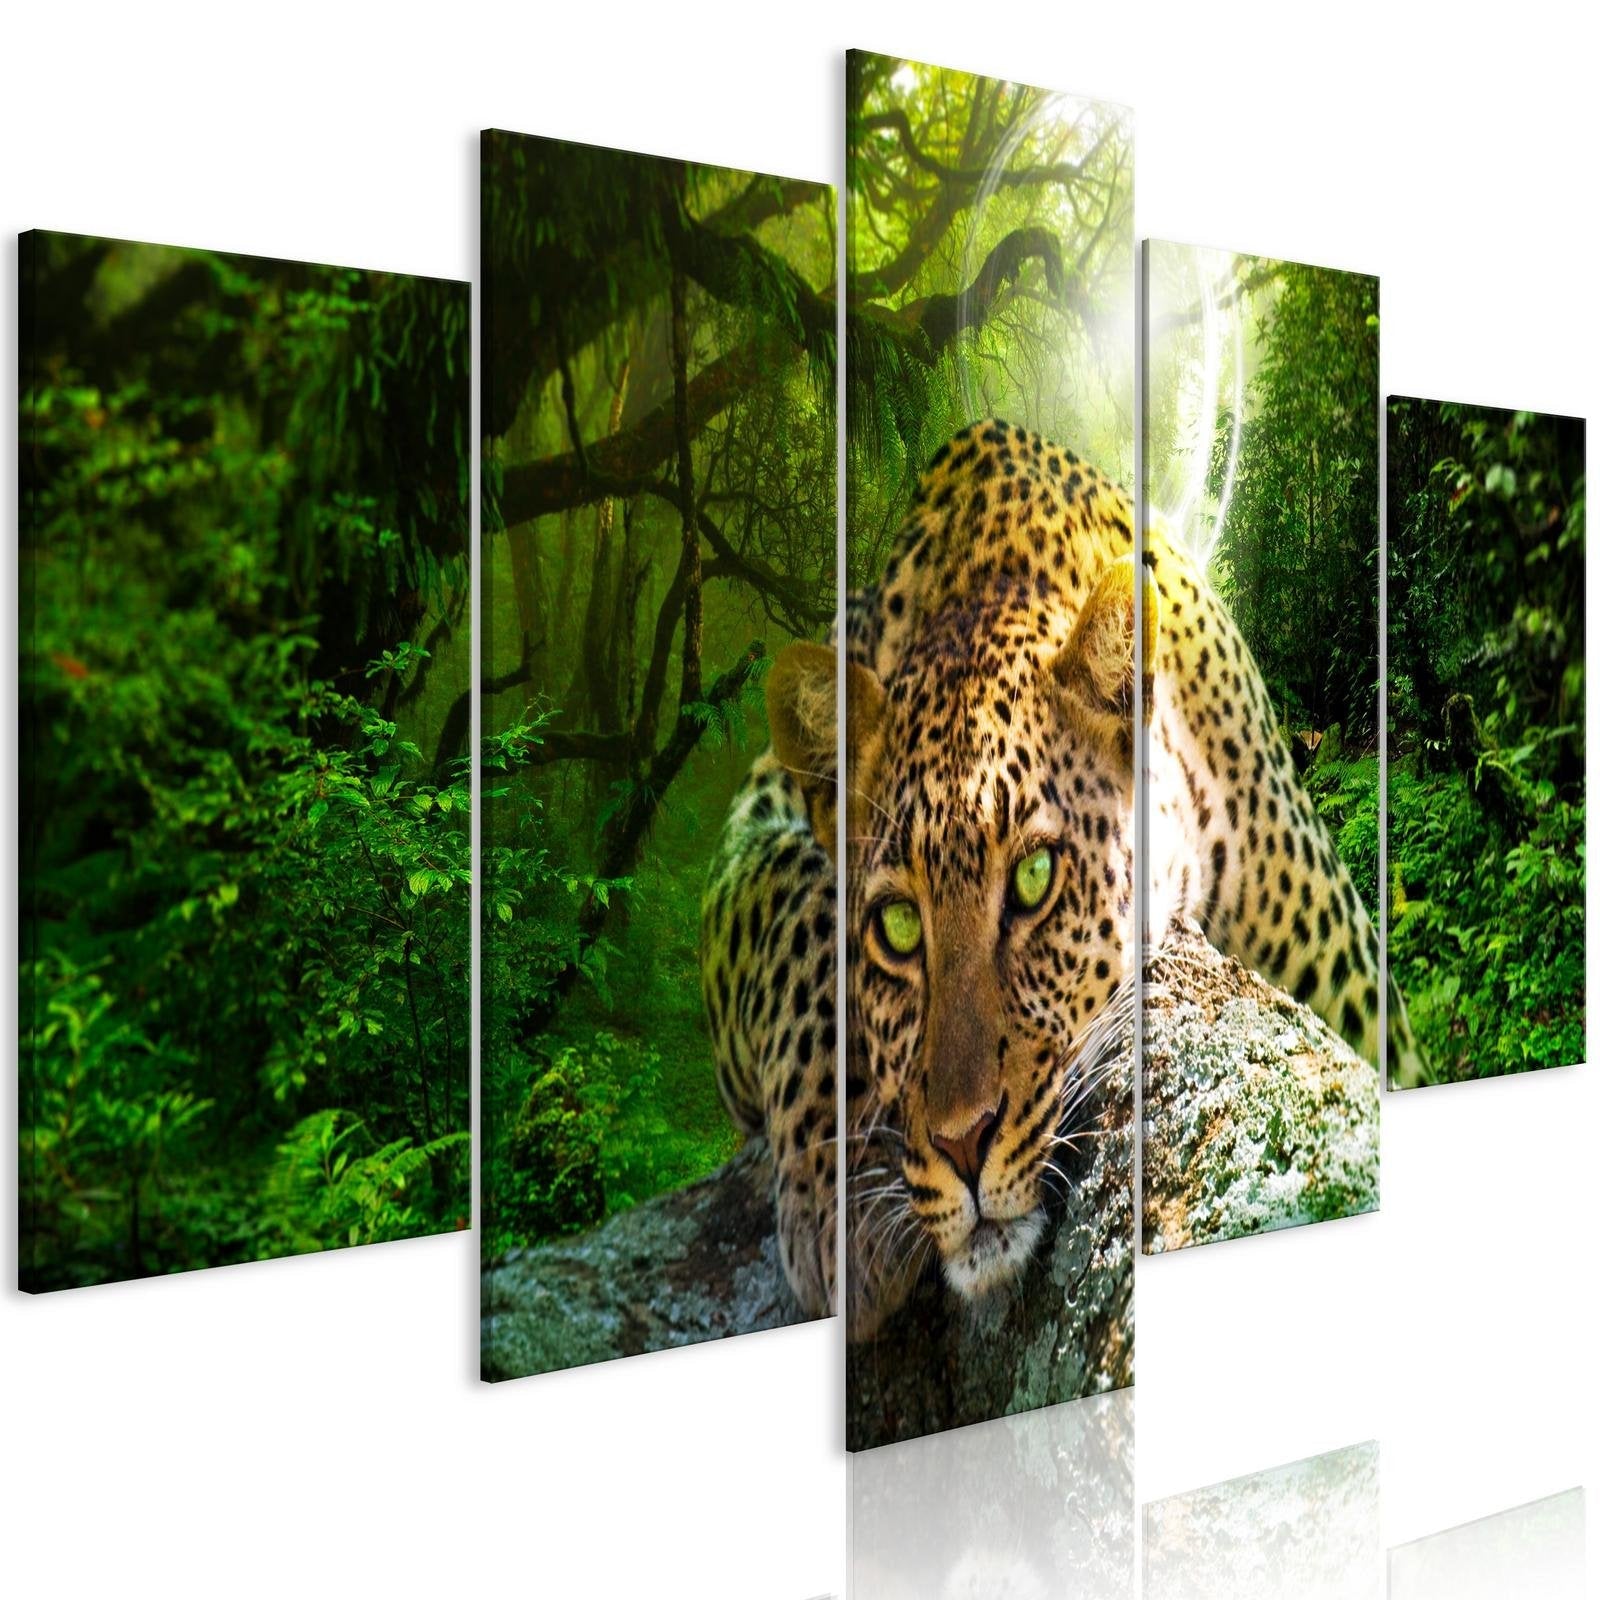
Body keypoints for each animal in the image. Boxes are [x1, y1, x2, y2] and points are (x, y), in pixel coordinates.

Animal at [702, 418, 1412, 1336]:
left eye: (1035, 877)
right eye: (896, 925)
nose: (961, 1142)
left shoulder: (1349, 978)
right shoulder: (752, 826)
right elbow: (798, 911)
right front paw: (842, 1199)